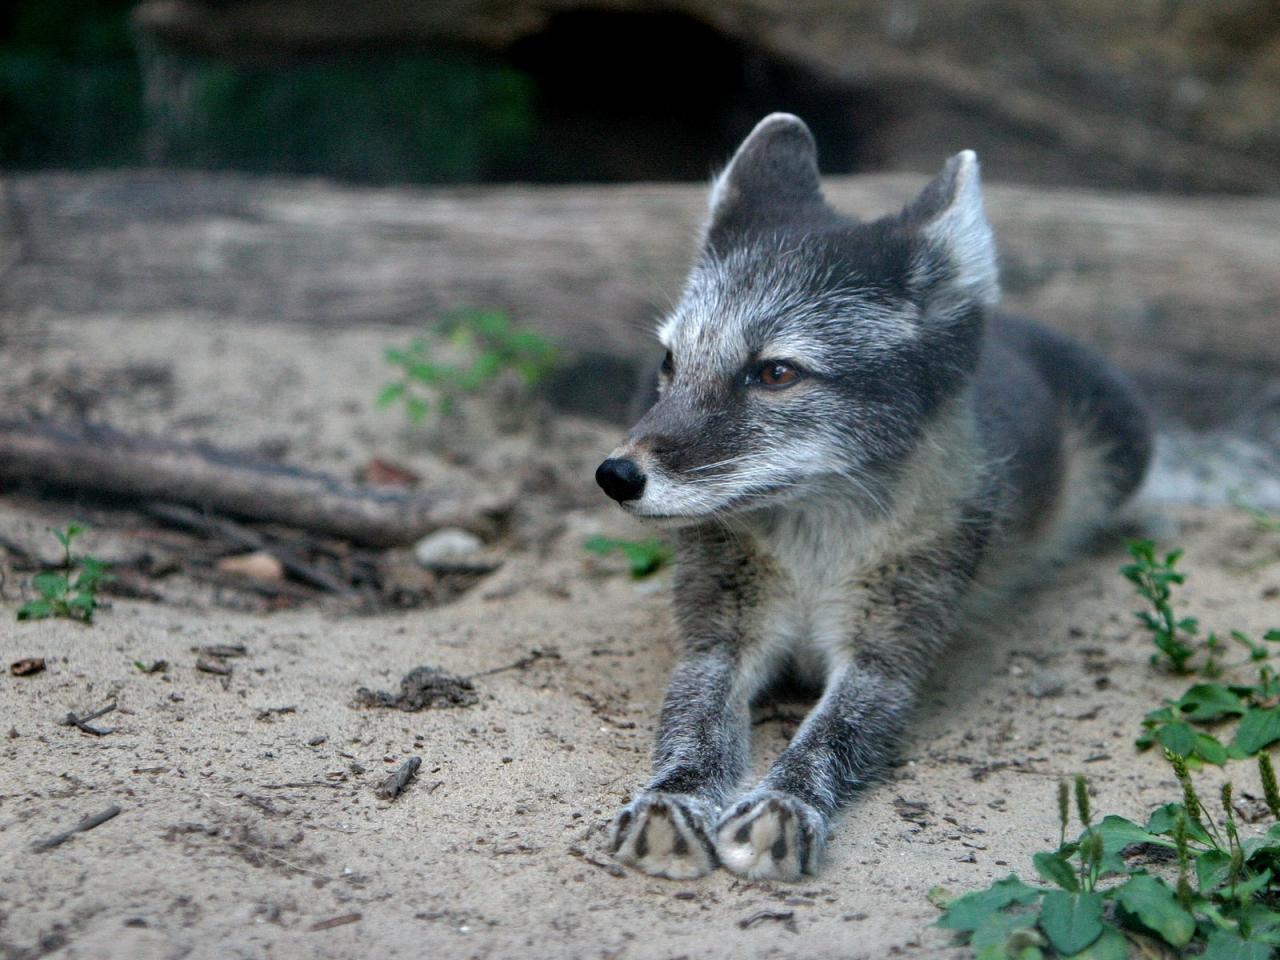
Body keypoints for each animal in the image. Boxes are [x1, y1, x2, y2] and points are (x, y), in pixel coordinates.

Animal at [593, 112, 1157, 880]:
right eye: (671, 363)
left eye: (776, 373)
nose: (616, 475)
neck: (815, 553)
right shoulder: (715, 639)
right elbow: (693, 725)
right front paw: (673, 799)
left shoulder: (889, 658)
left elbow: (830, 735)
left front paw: (785, 804)